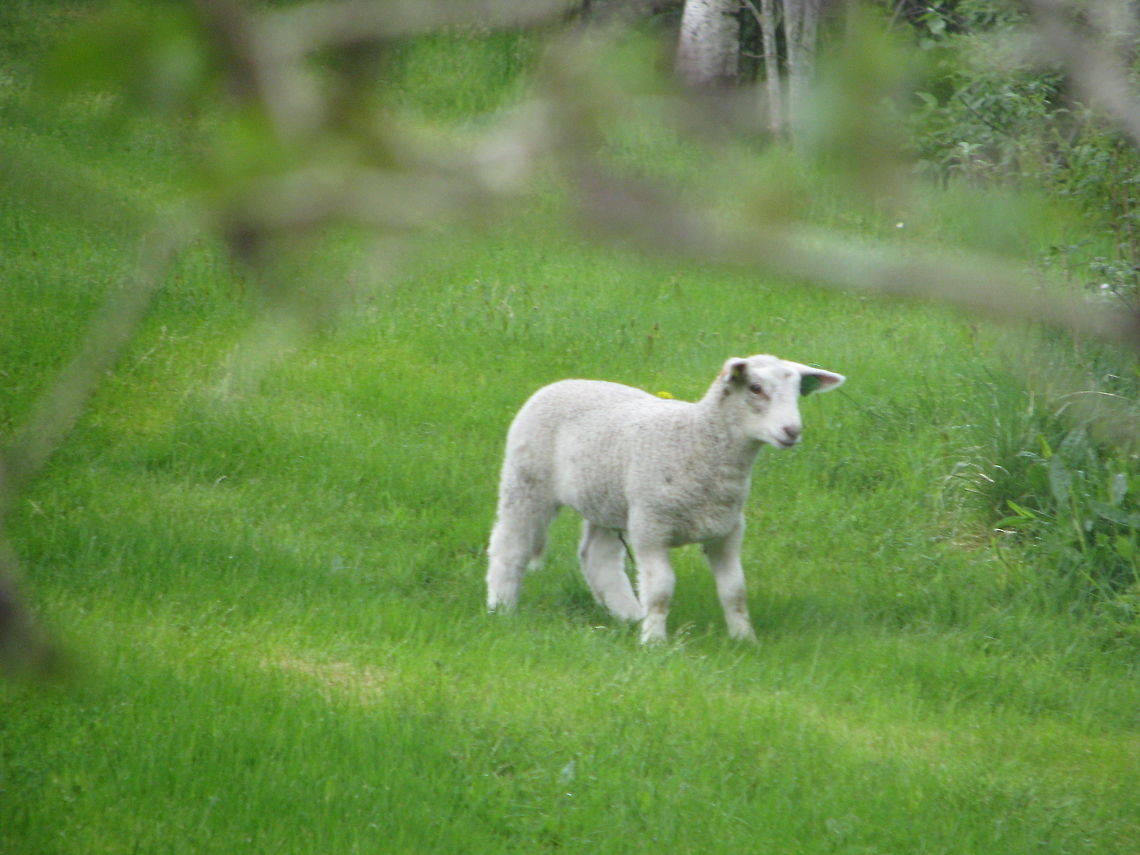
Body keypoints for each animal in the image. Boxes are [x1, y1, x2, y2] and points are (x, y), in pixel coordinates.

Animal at [486, 354, 845, 644]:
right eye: (755, 388)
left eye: (798, 392)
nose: (792, 431)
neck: (697, 440)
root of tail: (565, 382)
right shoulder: (651, 527)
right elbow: (661, 589)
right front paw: (655, 643)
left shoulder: (727, 532)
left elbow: (735, 591)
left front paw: (745, 640)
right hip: (527, 480)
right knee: (510, 546)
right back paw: (501, 608)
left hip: (611, 498)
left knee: (598, 557)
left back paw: (630, 615)